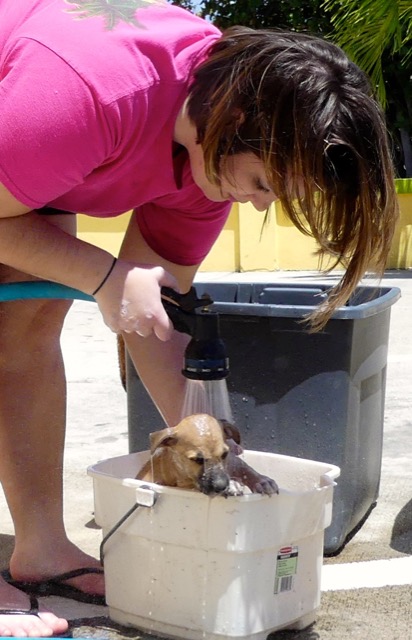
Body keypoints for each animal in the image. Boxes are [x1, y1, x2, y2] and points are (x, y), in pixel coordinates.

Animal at [137, 412, 278, 498]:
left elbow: (245, 467)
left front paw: (262, 481)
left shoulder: (232, 460)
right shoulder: (186, 485)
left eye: (224, 454)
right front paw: (232, 485)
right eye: (197, 459)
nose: (222, 486)